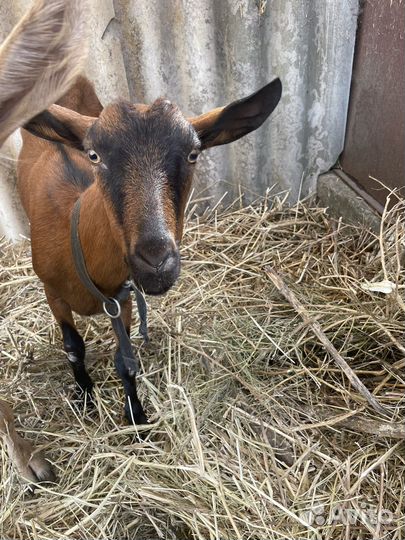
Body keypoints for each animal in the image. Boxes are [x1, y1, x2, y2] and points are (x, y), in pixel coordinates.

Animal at [18, 73, 280, 426]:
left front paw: (137, 418)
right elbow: (73, 347)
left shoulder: (123, 296)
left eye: (194, 154)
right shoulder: (53, 292)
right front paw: (85, 397)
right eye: (93, 155)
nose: (156, 262)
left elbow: (125, 360)